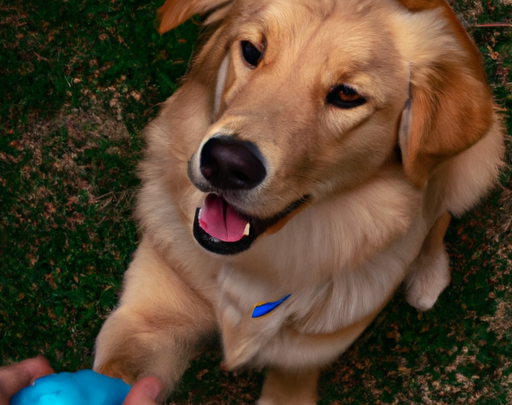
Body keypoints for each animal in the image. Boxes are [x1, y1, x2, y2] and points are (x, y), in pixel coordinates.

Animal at [92, 0, 504, 400]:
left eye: (347, 95)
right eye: (252, 51)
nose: (226, 163)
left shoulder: (299, 367)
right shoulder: (148, 319)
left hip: (477, 161)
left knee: (440, 213)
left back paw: (427, 274)